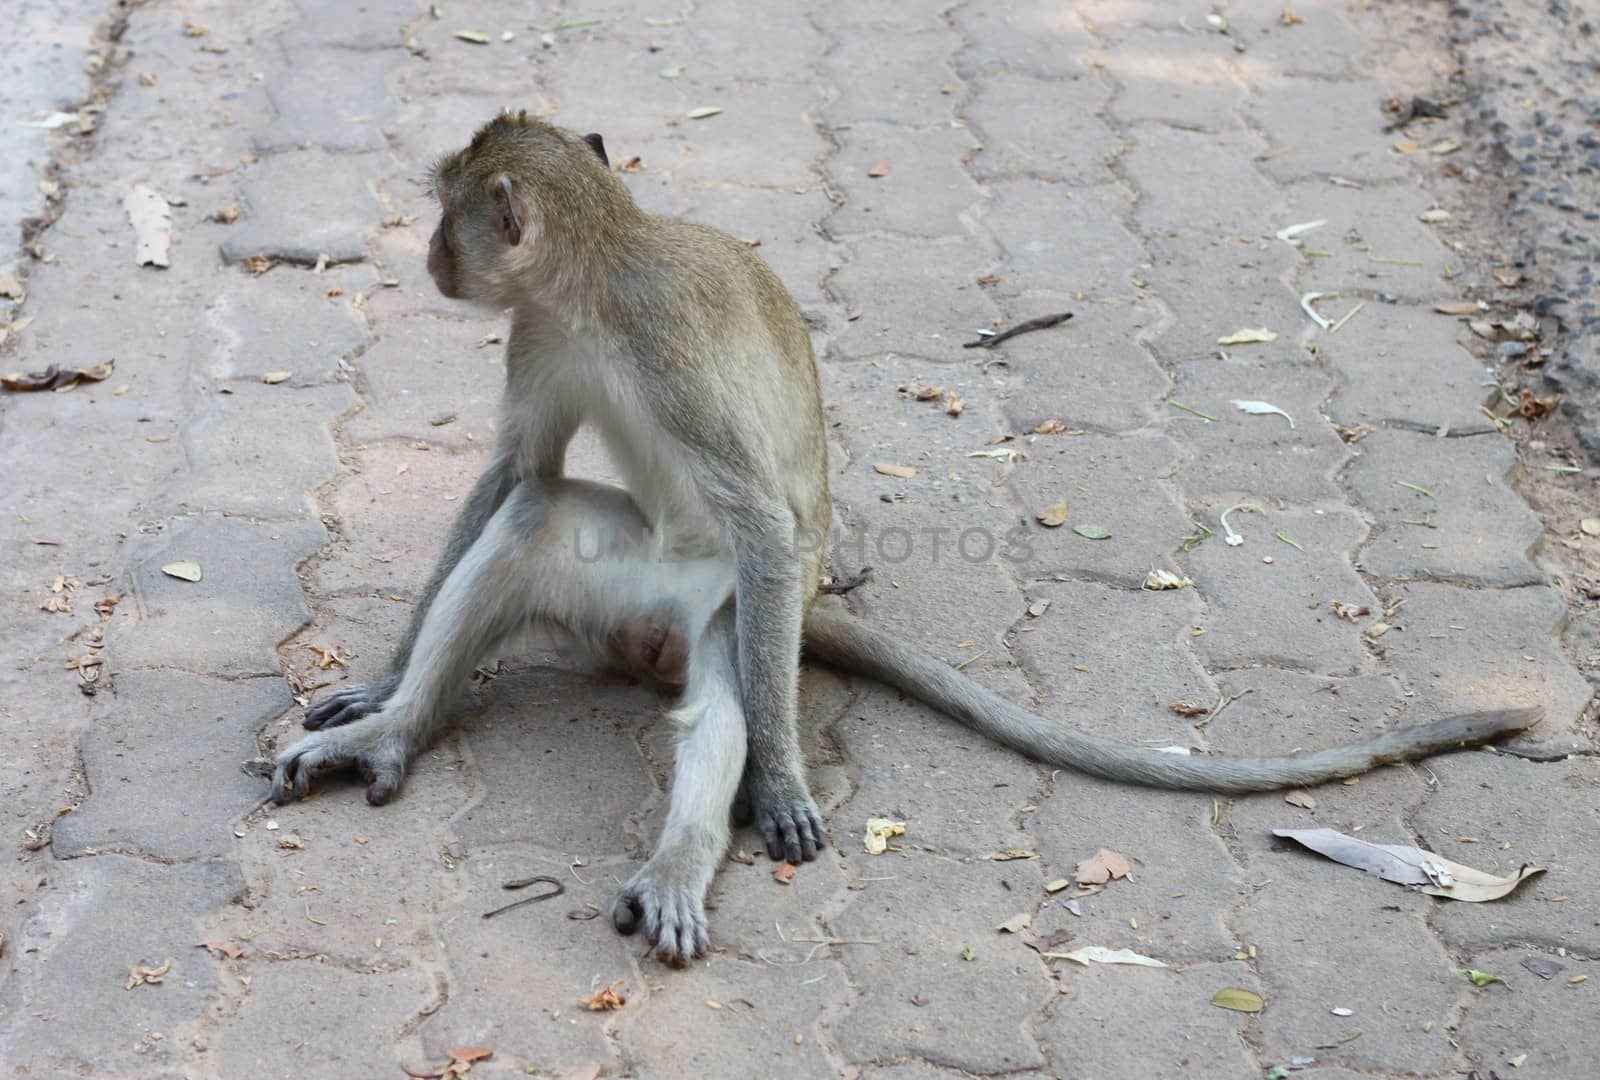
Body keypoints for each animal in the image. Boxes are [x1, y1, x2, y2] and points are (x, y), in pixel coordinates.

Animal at [272, 114, 1536, 966]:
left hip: (725, 606)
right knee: (535, 523)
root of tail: (650, 634)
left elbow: (759, 519)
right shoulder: (541, 332)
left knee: (728, 681)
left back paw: (682, 854)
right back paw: (393, 734)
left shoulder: (668, 355)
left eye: (450, 218)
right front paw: (383, 680)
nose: (430, 260)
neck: (597, 279)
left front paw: (778, 784)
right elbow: (514, 475)